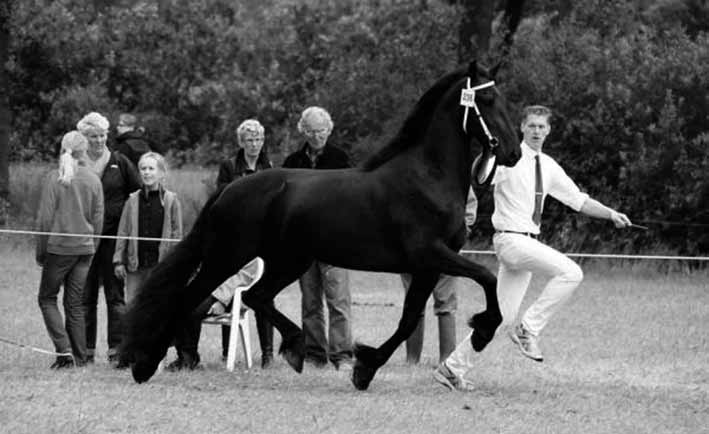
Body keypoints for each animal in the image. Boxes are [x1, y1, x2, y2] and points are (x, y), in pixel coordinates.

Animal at [121, 61, 520, 390]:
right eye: (487, 100)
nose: (513, 152)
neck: (427, 177)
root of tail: (230, 189)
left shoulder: (427, 266)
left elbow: (409, 319)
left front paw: (365, 368)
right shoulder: (431, 254)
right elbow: (488, 278)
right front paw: (482, 330)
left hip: (287, 261)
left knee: (254, 296)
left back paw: (295, 348)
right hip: (228, 256)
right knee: (191, 297)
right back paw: (145, 364)